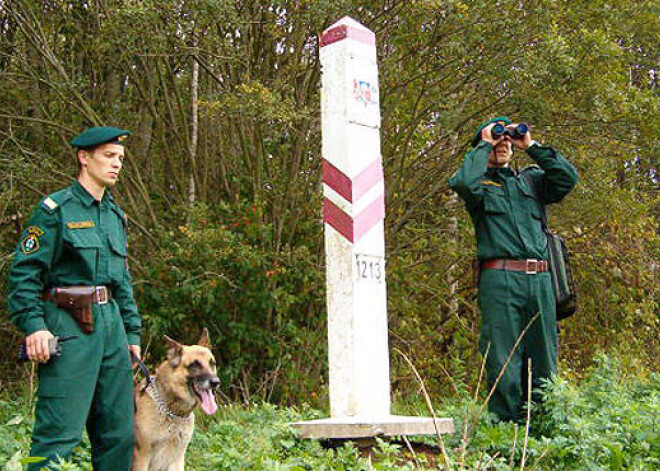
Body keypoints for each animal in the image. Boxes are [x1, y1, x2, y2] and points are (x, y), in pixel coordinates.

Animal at [133, 330, 220, 470]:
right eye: (194, 365)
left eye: (212, 363)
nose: (216, 382)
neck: (172, 411)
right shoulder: (141, 458)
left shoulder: (177, 459)